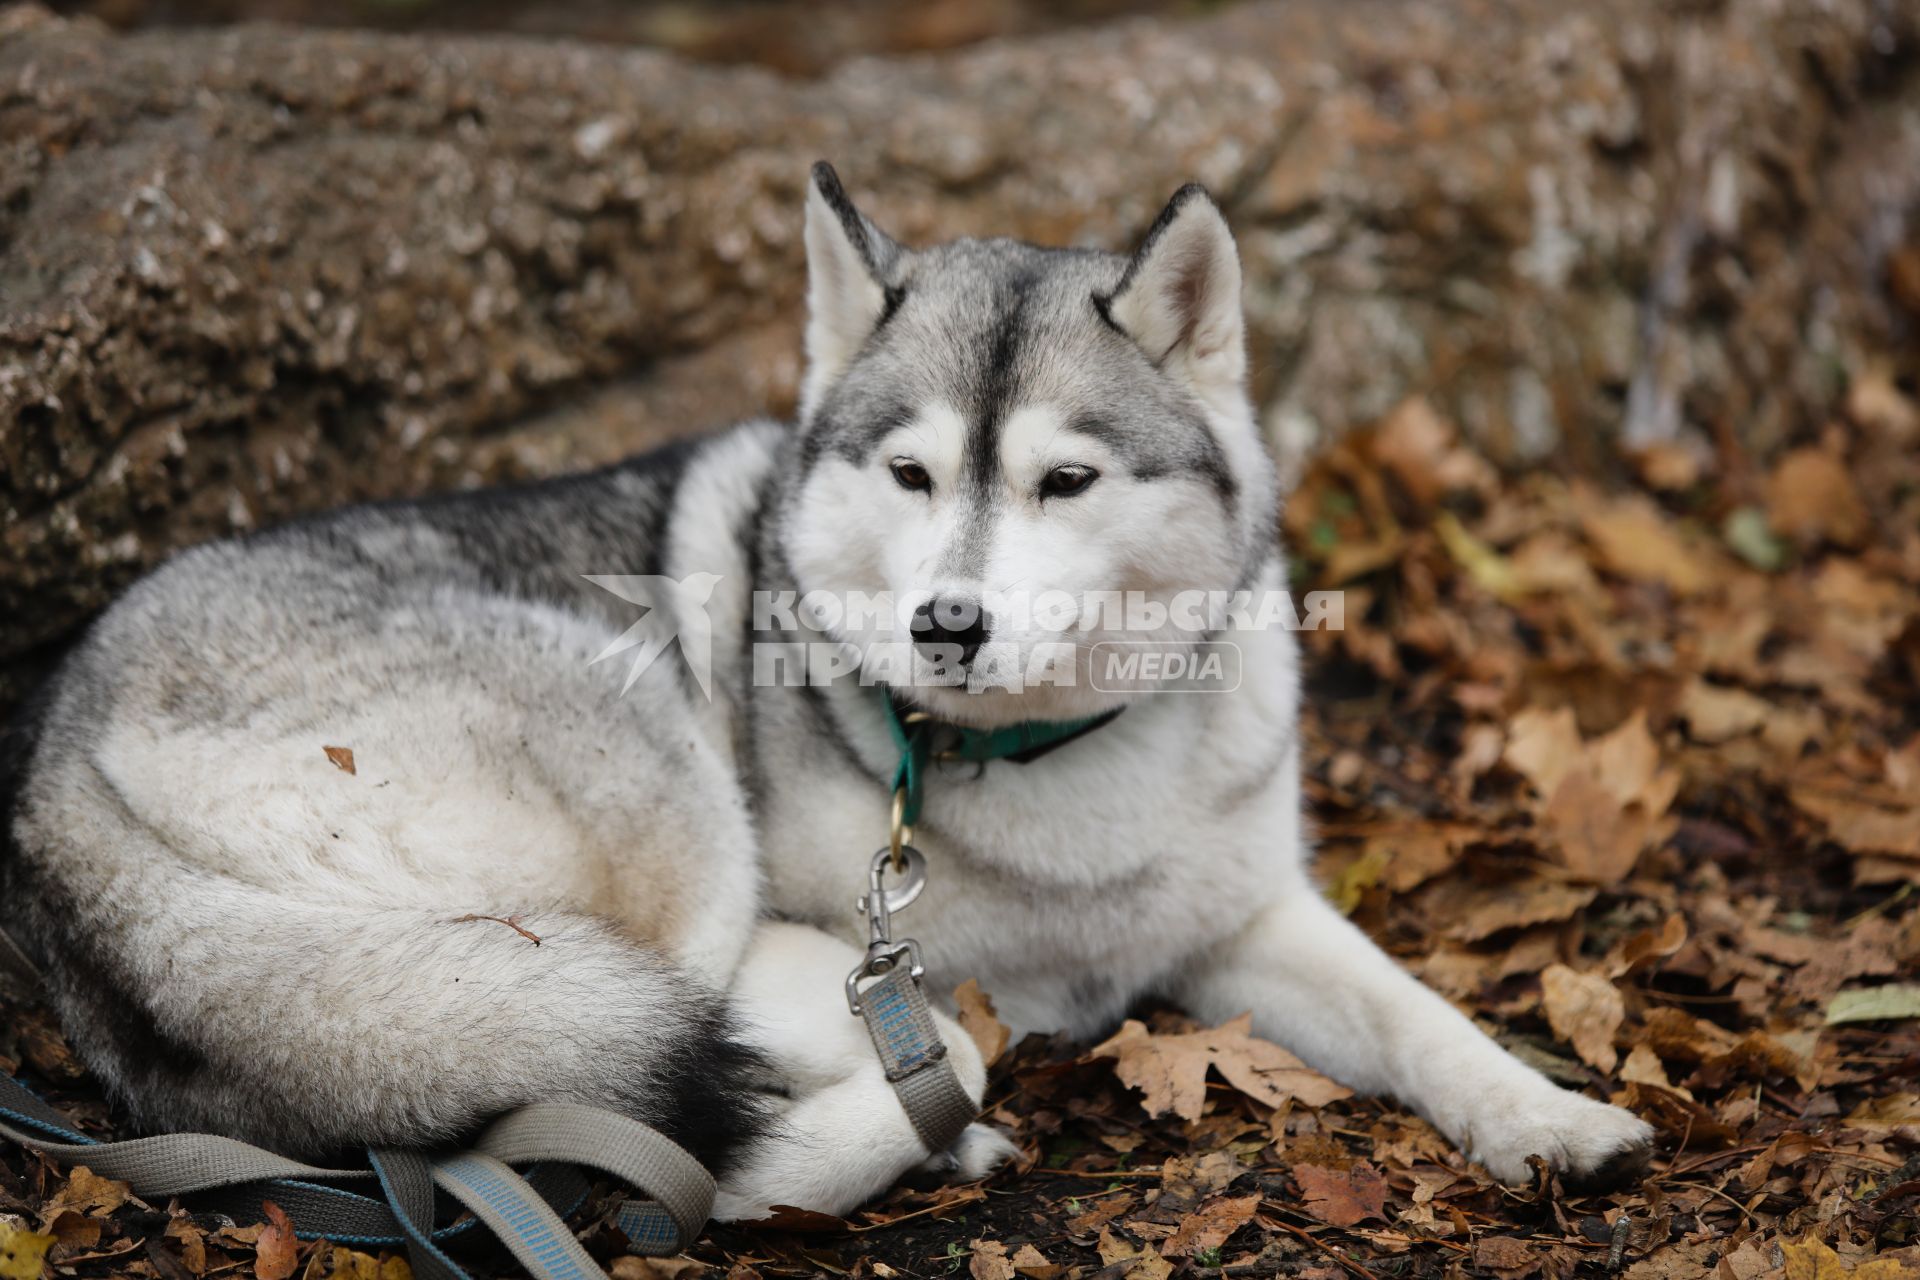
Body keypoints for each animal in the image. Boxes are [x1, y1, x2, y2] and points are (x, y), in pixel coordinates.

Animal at [0, 165, 1651, 1220]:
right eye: (913, 473)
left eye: (1064, 480)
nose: (946, 625)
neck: (1044, 771)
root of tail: (57, 759)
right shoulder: (823, 956)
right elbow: (955, 1037)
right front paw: (900, 1127)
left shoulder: (1248, 919)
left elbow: (1419, 1012)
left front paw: (1546, 1114)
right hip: (644, 822)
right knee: (577, 1079)